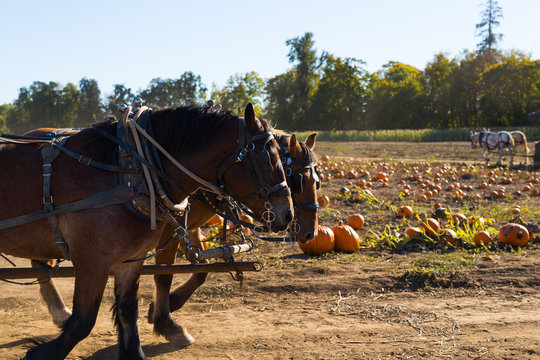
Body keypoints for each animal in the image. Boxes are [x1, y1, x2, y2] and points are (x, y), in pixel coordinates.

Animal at [0, 102, 294, 358]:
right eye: (268, 159)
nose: (287, 214)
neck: (130, 171)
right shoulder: (92, 259)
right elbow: (84, 320)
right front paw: (40, 354)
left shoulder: (131, 258)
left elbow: (128, 309)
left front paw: (137, 349)